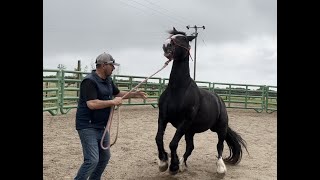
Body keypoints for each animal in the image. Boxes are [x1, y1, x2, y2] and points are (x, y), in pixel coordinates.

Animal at [155, 27, 248, 175]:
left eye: (184, 39)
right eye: (172, 36)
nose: (166, 45)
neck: (178, 90)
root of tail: (219, 100)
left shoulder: (184, 121)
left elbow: (173, 143)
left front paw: (173, 166)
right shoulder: (163, 117)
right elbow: (159, 139)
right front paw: (163, 162)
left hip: (220, 128)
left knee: (220, 146)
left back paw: (220, 168)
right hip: (190, 131)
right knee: (190, 147)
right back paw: (182, 164)